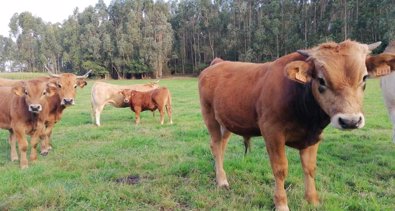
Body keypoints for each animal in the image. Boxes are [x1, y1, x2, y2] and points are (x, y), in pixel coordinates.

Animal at [200, 40, 395, 211]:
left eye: (364, 78)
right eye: (321, 80)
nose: (350, 121)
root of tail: (219, 63)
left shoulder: (314, 137)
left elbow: (309, 168)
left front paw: (313, 201)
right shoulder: (272, 132)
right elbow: (280, 169)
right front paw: (281, 203)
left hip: (227, 121)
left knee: (222, 146)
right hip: (209, 115)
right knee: (215, 145)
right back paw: (222, 181)